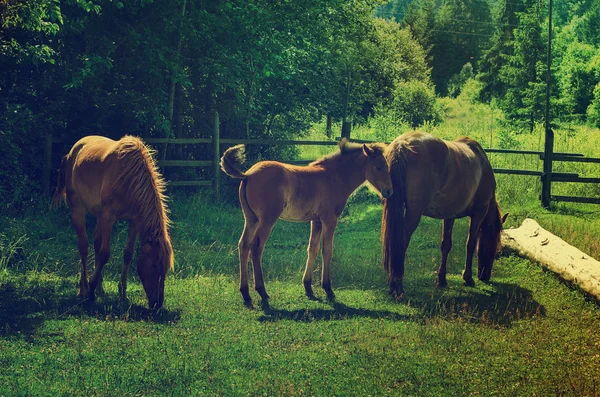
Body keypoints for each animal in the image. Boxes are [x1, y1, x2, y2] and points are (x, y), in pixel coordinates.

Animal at [51, 135, 175, 308]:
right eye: (154, 264)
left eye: (165, 268)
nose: (157, 303)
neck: (129, 177)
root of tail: (72, 152)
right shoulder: (109, 216)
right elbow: (105, 254)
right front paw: (90, 290)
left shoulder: (134, 221)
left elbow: (128, 254)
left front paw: (122, 294)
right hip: (78, 209)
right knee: (84, 247)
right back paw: (83, 288)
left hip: (99, 215)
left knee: (96, 243)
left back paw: (99, 288)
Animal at [220, 139, 394, 304]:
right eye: (378, 167)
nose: (389, 191)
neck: (335, 177)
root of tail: (248, 174)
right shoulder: (329, 219)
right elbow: (327, 250)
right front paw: (328, 288)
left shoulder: (316, 221)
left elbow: (312, 249)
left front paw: (308, 287)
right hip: (267, 219)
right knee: (256, 247)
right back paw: (262, 291)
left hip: (251, 219)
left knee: (243, 245)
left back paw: (246, 293)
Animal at [382, 132, 504, 296]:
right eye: (496, 247)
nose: (485, 276)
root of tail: (402, 144)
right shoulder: (479, 212)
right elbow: (470, 243)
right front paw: (468, 278)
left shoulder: (449, 215)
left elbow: (446, 245)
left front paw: (442, 279)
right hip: (414, 213)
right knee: (401, 240)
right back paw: (397, 284)